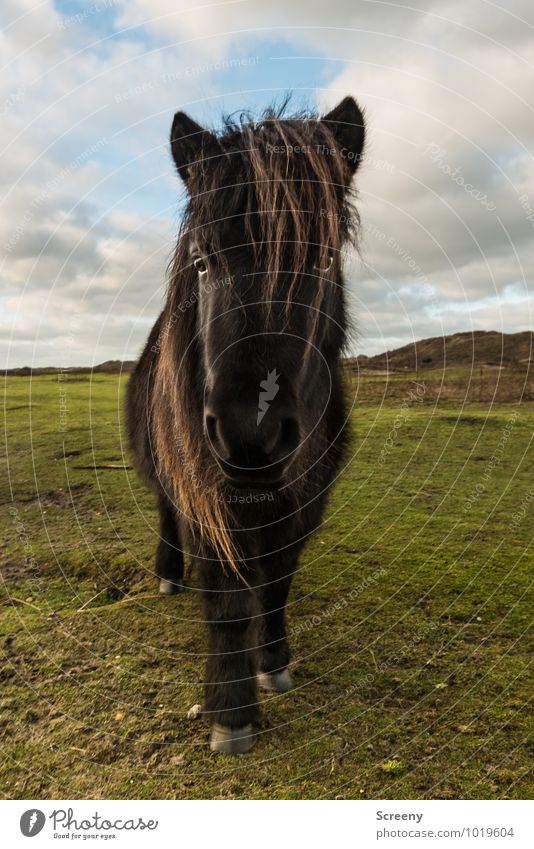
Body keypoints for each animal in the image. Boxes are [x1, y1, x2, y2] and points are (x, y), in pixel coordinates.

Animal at [127, 96, 366, 752]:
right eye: (203, 263)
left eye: (324, 258)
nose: (249, 438)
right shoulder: (209, 497)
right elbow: (228, 599)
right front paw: (231, 713)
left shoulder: (306, 499)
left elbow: (277, 581)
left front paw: (274, 664)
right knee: (166, 517)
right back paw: (168, 577)